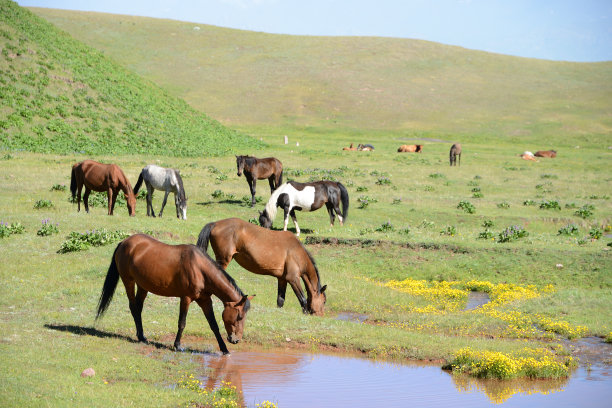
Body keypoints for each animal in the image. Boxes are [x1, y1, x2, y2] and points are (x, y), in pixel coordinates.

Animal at [95, 234, 253, 356]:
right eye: (239, 316)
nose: (236, 340)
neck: (200, 268)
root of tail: (124, 242)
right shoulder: (186, 298)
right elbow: (182, 323)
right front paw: (177, 345)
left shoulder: (205, 300)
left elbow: (213, 325)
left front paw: (225, 349)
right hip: (128, 281)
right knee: (133, 307)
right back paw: (140, 336)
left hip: (143, 286)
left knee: (138, 308)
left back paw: (141, 336)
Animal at [198, 218, 328, 318]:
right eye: (324, 301)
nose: (320, 315)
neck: (297, 252)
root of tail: (215, 223)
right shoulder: (293, 279)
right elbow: (303, 299)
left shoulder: (282, 279)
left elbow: (280, 300)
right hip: (223, 259)